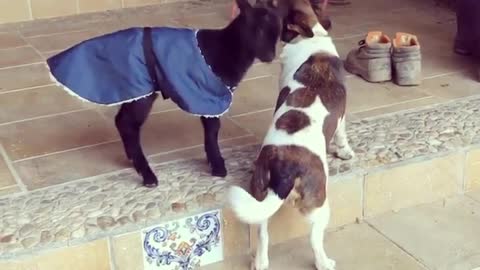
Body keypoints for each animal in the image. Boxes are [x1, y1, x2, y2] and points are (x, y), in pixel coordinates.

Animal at [227, 0, 354, 268]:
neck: (309, 37)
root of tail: (284, 170)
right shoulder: (343, 115)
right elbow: (342, 133)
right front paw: (344, 151)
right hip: (319, 205)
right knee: (315, 240)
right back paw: (324, 262)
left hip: (260, 195)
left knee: (262, 233)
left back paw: (260, 262)